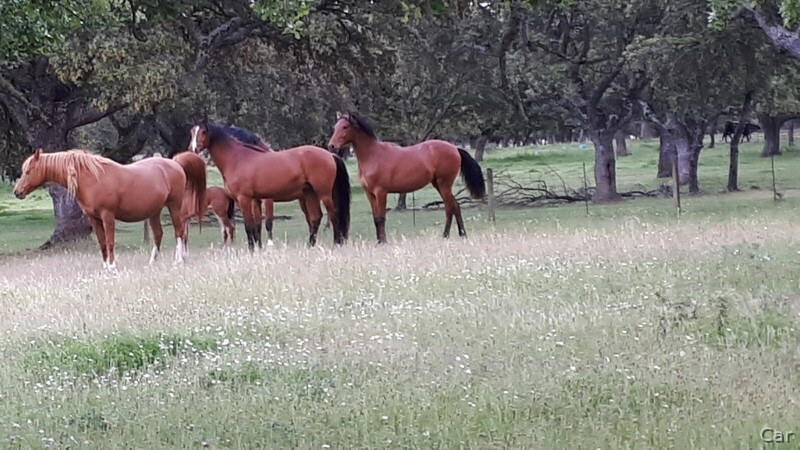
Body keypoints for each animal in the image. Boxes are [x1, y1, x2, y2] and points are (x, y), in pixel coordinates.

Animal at [13, 148, 207, 269]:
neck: (92, 178)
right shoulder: (94, 218)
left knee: (179, 232)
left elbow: (110, 241)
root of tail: (176, 163)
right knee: (159, 235)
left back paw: (178, 260)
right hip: (154, 212)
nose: (17, 192)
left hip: (174, 206)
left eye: (28, 171)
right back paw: (152, 263)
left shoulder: (107, 216)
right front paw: (105, 266)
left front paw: (112, 266)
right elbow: (102, 242)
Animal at [189, 119, 351, 250]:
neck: (238, 158)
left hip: (324, 193)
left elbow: (250, 226)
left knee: (333, 215)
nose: (193, 149)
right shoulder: (255, 200)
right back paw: (310, 245)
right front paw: (258, 248)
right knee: (316, 217)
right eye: (192, 132)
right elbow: (256, 226)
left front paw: (252, 250)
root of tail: (330, 154)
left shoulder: (245, 199)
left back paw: (336, 244)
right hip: (309, 194)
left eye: (203, 131)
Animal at [327, 112, 486, 244]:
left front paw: (383, 242)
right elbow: (375, 218)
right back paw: (462, 234)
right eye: (335, 127)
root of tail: (455, 148)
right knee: (455, 206)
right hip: (438, 184)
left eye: (345, 127)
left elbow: (381, 217)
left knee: (449, 207)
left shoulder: (381, 192)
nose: (331, 146)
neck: (373, 155)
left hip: (444, 184)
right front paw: (378, 241)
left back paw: (445, 235)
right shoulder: (370, 194)